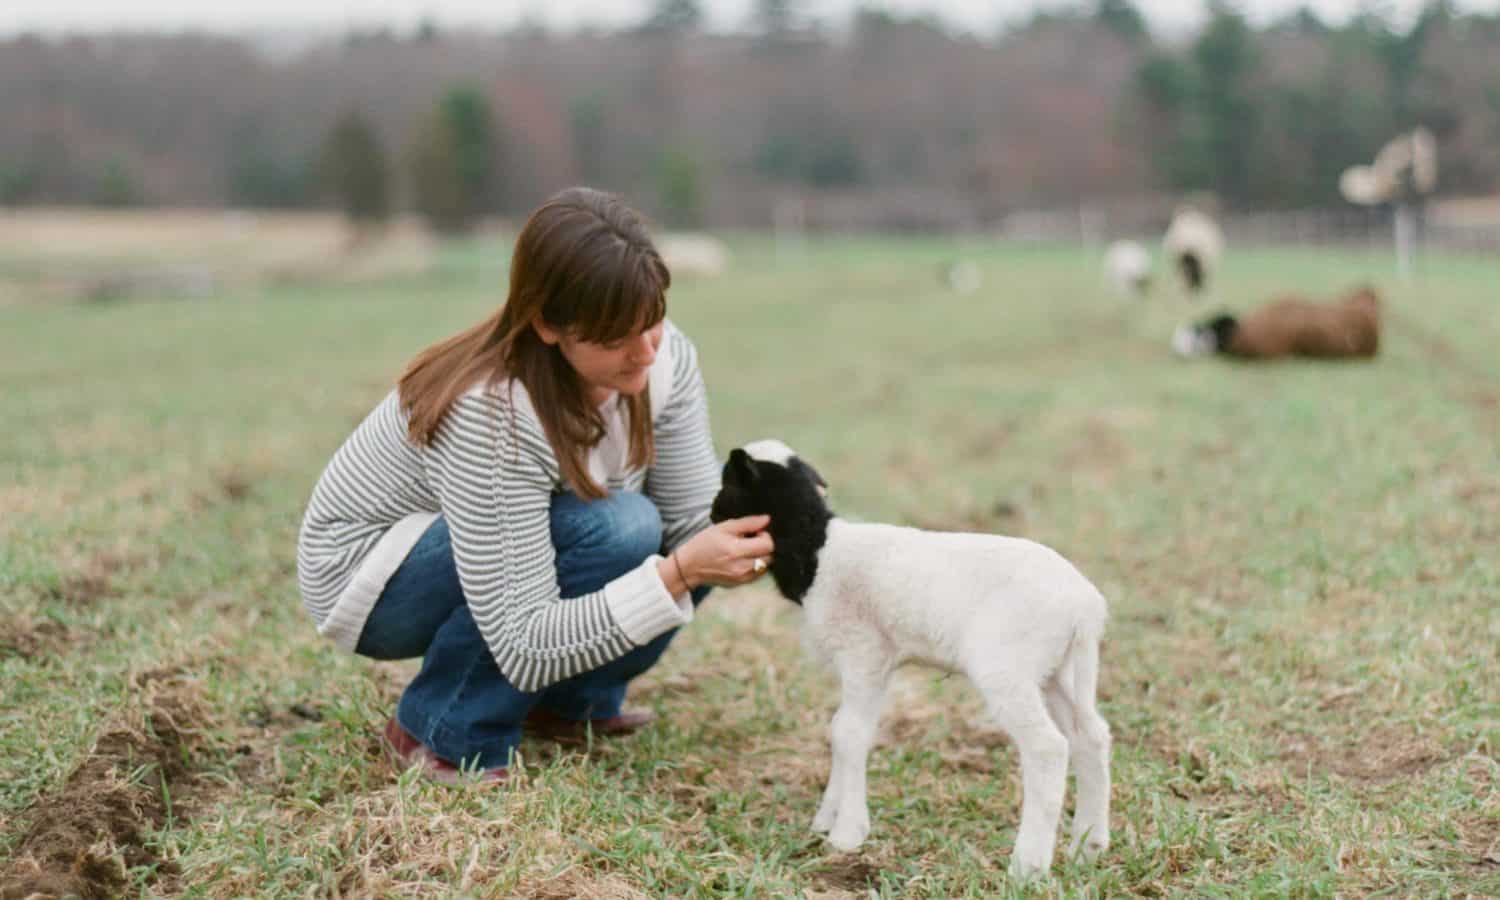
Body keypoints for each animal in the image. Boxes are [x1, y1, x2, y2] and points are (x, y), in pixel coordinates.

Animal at [705, 444, 1116, 876]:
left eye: (728, 481)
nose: (711, 514)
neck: (816, 552)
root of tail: (1085, 607)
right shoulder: (878, 663)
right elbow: (844, 729)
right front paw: (827, 818)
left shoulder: (863, 651)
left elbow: (848, 733)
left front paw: (847, 834)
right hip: (1059, 671)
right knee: (1091, 735)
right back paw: (1089, 846)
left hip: (1008, 669)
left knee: (1048, 748)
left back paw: (1028, 866)